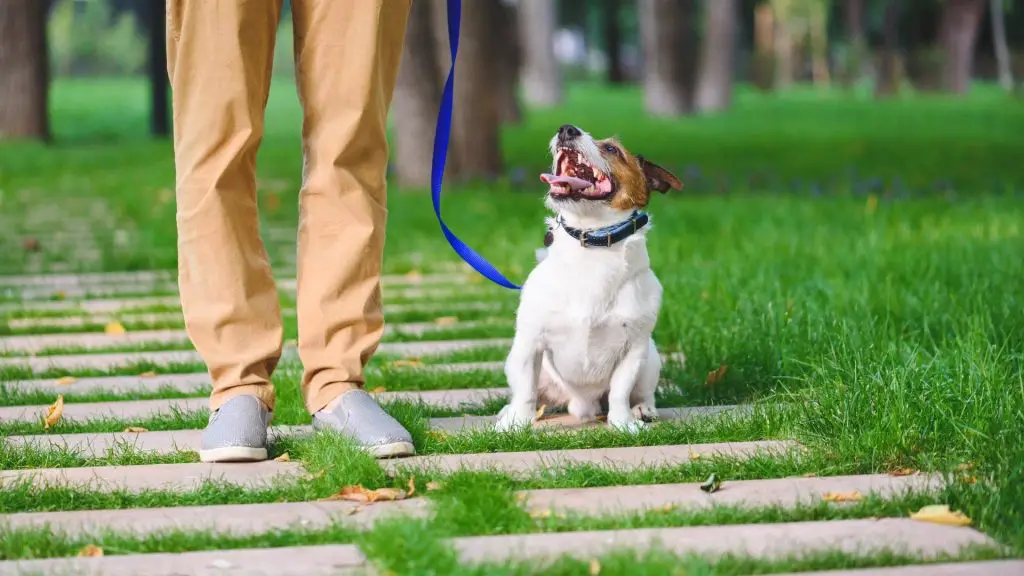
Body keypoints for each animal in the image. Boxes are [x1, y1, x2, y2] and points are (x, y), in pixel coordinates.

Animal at [493, 123, 679, 432]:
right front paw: (515, 424)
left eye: (612, 149)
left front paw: (623, 423)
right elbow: (526, 390)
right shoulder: (530, 342)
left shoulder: (634, 349)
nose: (567, 129)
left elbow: (619, 391)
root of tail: (581, 405)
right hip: (520, 361)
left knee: (642, 392)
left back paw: (643, 409)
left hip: (650, 358)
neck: (592, 243)